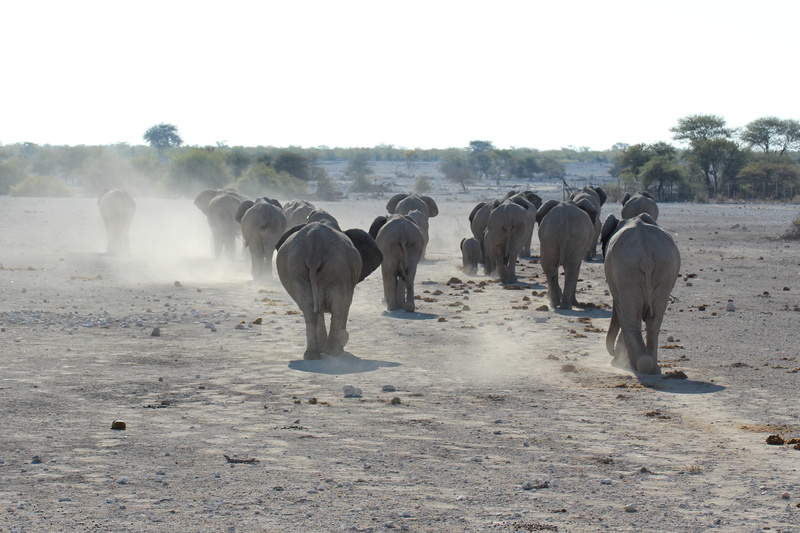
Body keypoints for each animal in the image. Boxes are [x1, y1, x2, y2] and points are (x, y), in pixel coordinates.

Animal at [276, 221, 382, 360]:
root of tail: (313, 252)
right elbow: (346, 304)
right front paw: (341, 340)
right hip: (337, 270)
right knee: (339, 306)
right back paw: (335, 352)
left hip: (299, 269)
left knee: (310, 309)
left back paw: (314, 356)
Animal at [600, 213, 680, 374]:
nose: (612, 352)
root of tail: (646, 256)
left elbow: (621, 312)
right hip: (663, 273)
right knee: (653, 322)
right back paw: (652, 367)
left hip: (627, 273)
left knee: (629, 320)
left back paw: (635, 365)